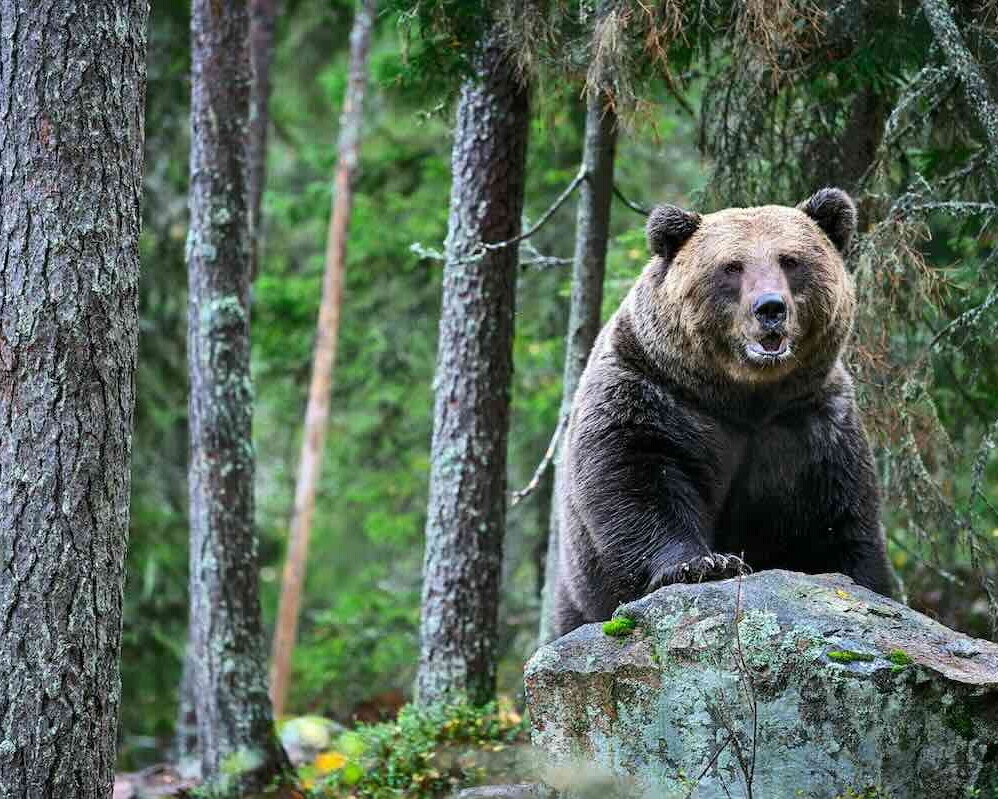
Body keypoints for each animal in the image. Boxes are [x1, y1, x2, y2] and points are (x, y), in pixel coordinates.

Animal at [552, 187, 893, 637]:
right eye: (732, 266)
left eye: (790, 260)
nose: (770, 308)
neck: (745, 398)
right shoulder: (650, 393)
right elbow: (636, 479)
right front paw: (704, 563)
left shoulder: (813, 427)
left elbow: (841, 520)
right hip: (576, 596)